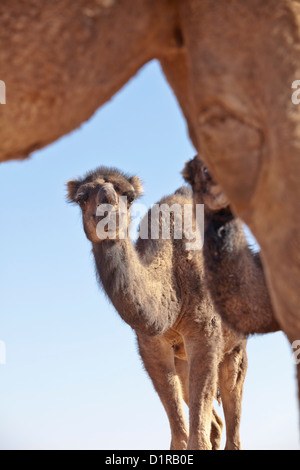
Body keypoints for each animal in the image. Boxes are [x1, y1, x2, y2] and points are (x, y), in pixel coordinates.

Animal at [68, 167, 248, 450]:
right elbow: (180, 435)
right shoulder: (150, 343)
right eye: (81, 197)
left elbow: (197, 437)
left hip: (236, 347)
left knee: (233, 416)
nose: (108, 210)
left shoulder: (205, 332)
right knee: (215, 423)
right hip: (182, 360)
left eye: (128, 196)